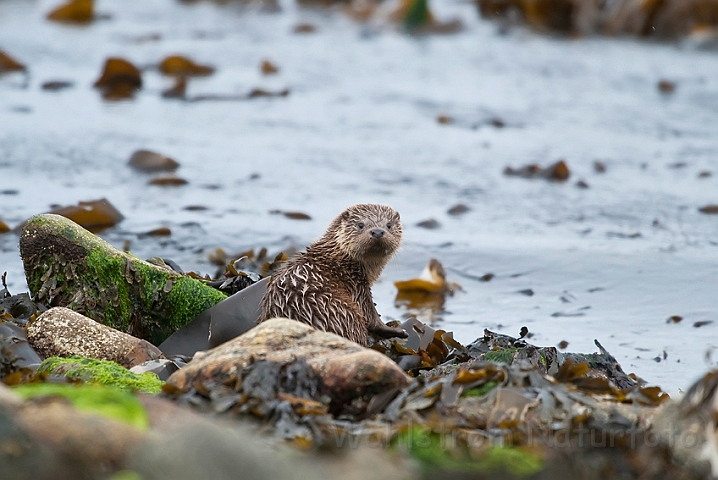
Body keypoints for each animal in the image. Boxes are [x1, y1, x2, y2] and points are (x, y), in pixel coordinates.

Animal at [258, 202, 408, 344]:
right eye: (360, 225)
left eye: (389, 225)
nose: (377, 232)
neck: (342, 261)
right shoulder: (357, 287)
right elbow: (371, 317)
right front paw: (397, 331)